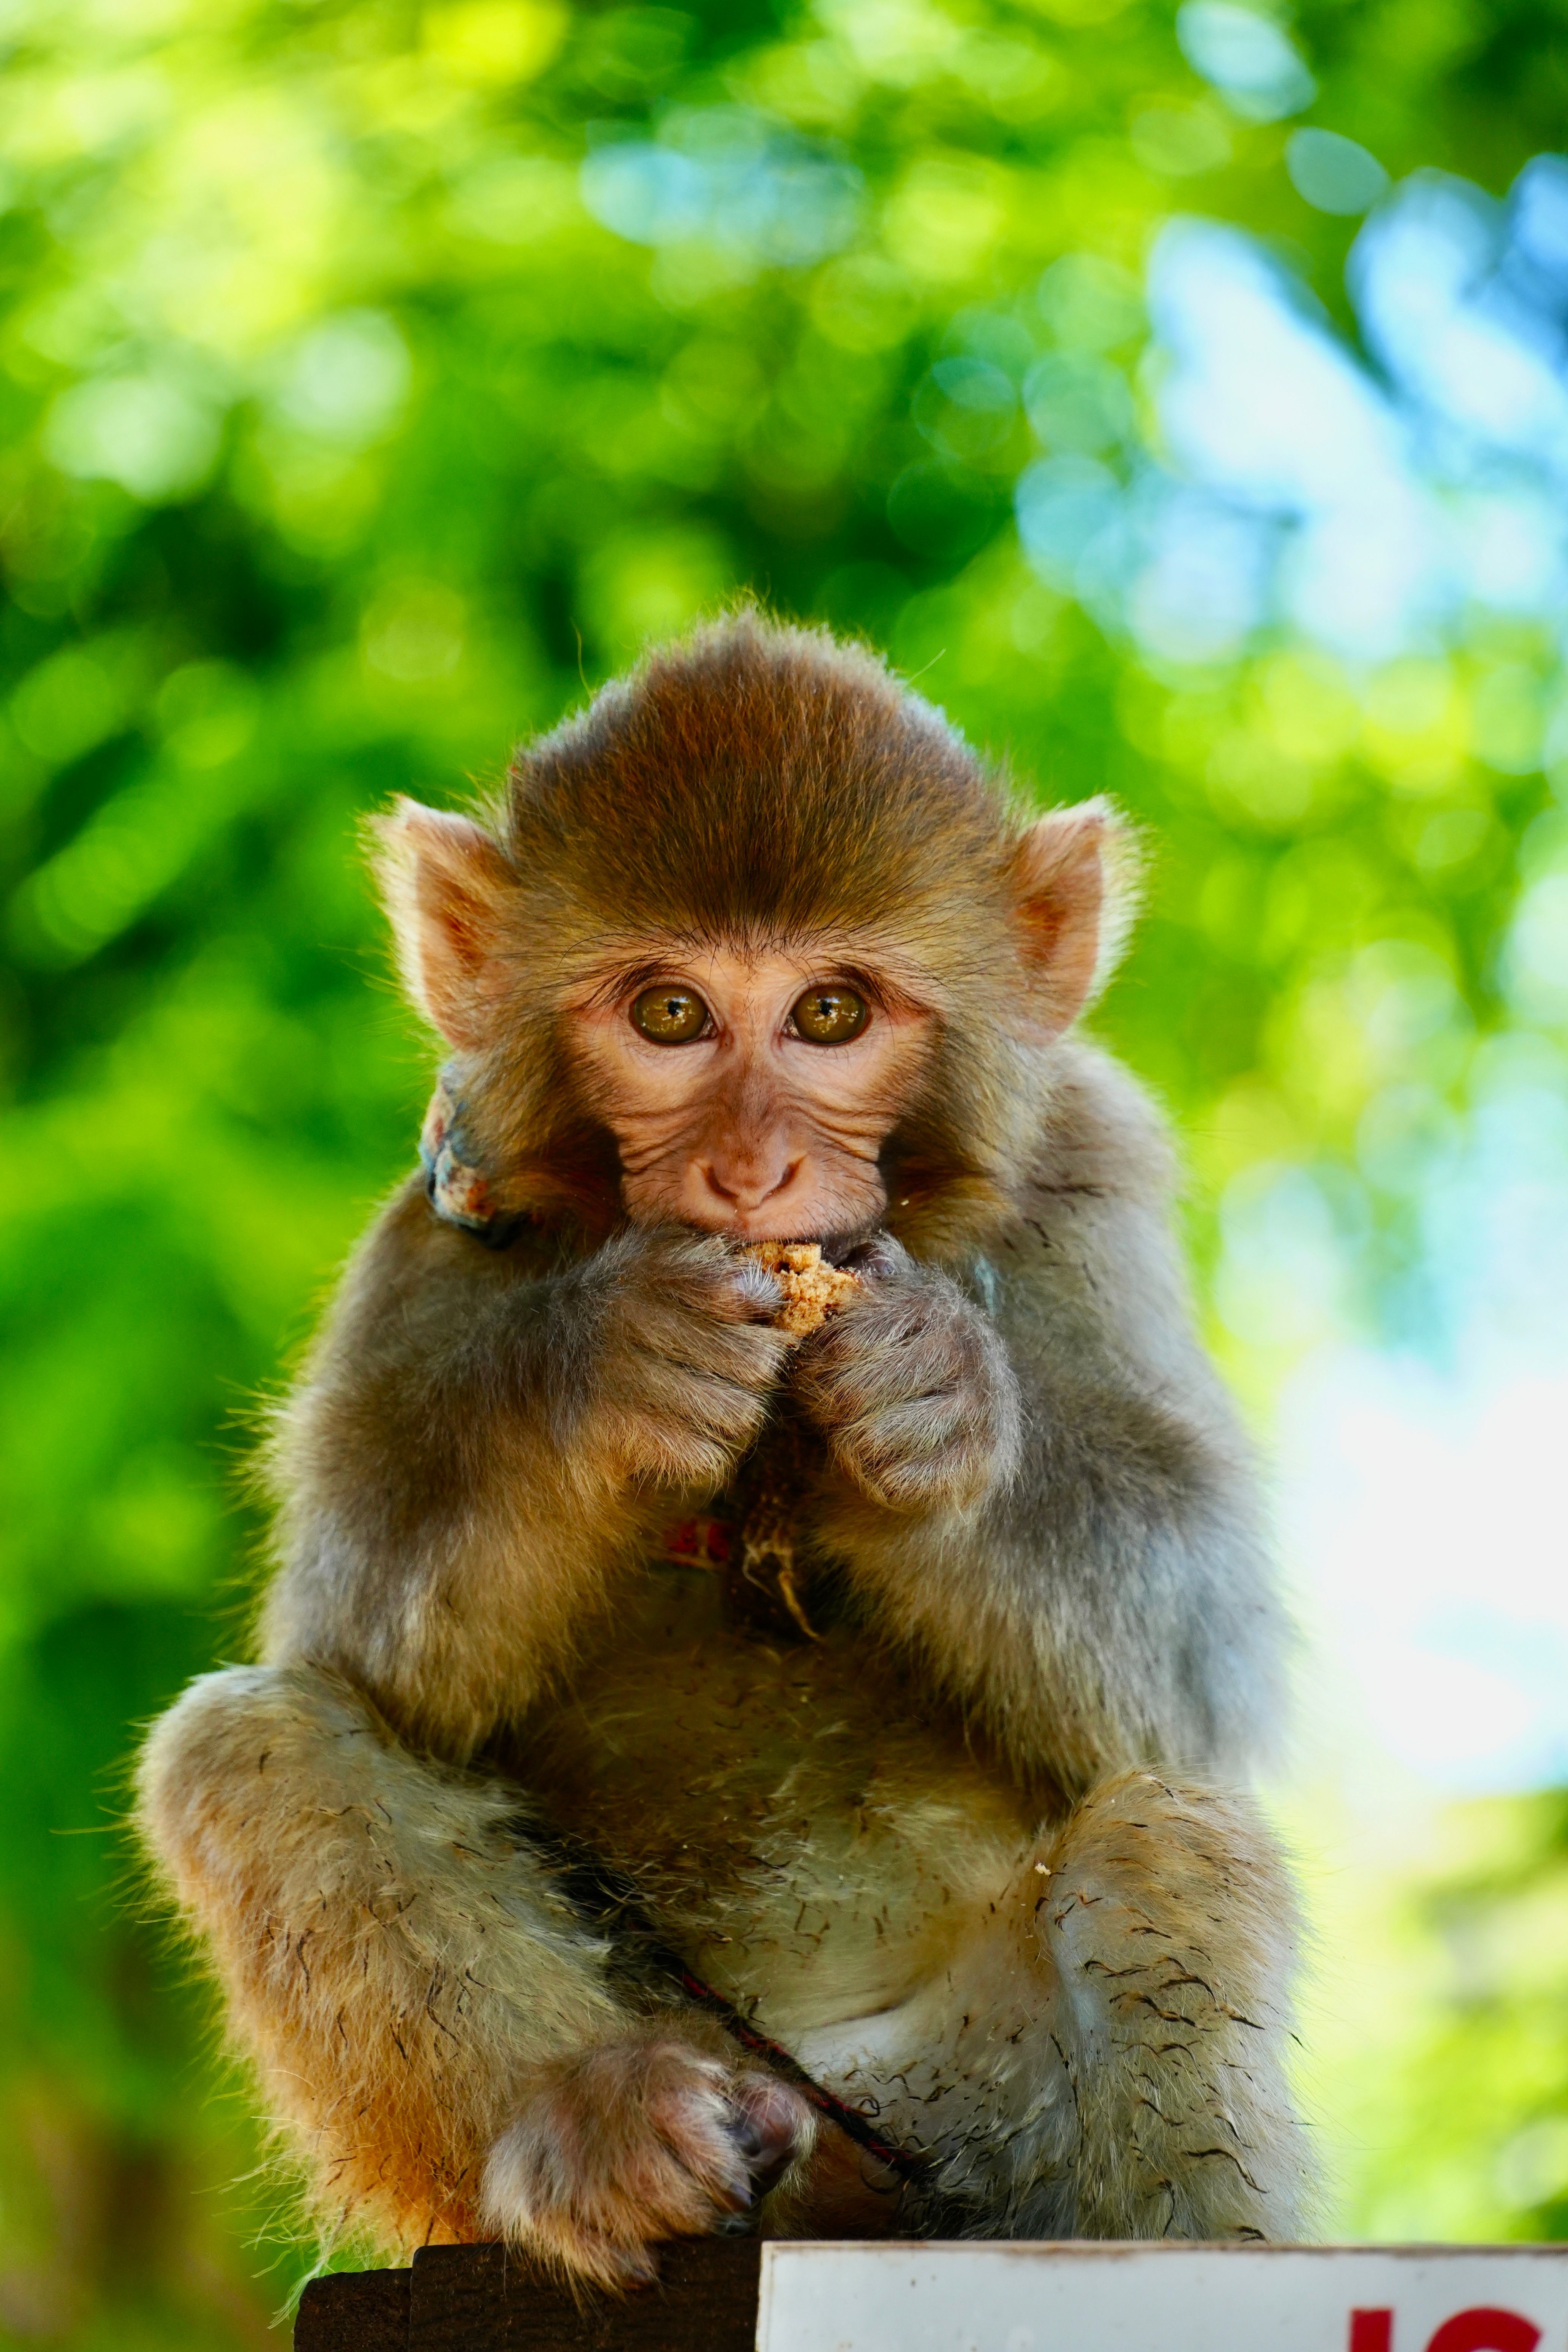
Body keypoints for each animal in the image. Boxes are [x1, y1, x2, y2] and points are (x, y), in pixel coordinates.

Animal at [137, 611, 1305, 2290]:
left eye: (829, 1014)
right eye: (670, 1015)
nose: (750, 1173)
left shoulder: (1096, 1162)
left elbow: (1193, 1680)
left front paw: (934, 1402)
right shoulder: (433, 1218)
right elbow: (368, 1660)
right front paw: (608, 1376)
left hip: (955, 2105)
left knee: (1170, 1836)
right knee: (245, 1743)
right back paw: (602, 2128)